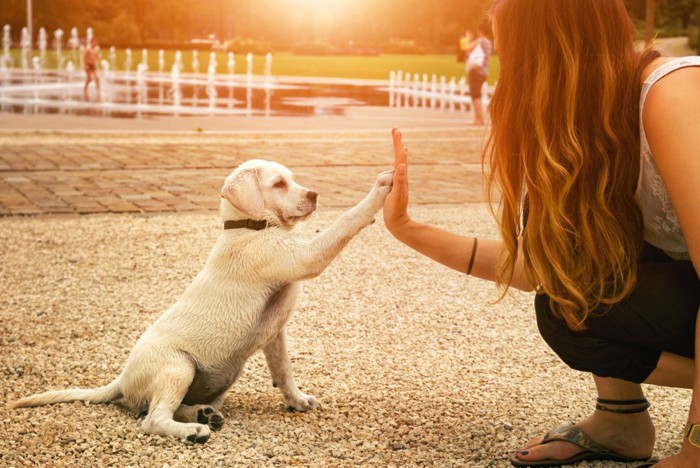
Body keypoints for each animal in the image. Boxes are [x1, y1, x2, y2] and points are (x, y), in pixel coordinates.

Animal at [13, 160, 394, 442]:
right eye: (278, 184)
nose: (314, 195)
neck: (249, 227)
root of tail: (121, 379)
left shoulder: (275, 333)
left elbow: (283, 370)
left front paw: (297, 400)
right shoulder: (303, 258)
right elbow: (345, 220)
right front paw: (380, 189)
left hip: (219, 379)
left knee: (164, 408)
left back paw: (204, 415)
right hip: (178, 366)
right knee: (152, 419)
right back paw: (193, 430)